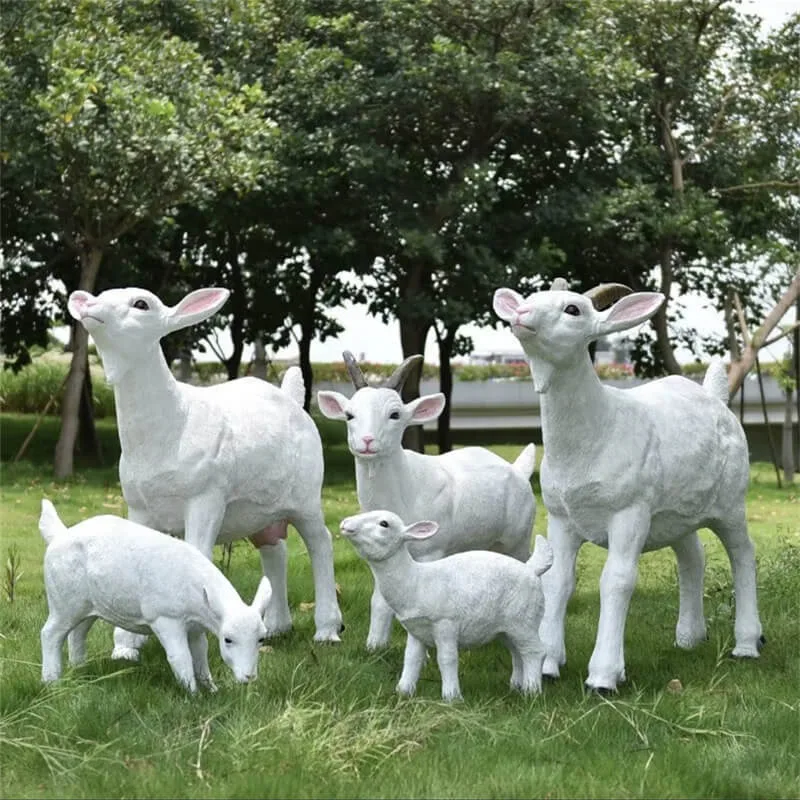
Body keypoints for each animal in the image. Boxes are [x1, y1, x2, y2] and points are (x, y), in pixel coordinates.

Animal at [38, 499, 271, 692]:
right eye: (228, 639)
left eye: (261, 639)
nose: (249, 677)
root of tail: (58, 535)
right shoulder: (165, 618)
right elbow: (180, 657)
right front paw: (193, 694)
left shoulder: (196, 627)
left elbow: (200, 656)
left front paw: (211, 689)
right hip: (62, 602)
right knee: (50, 634)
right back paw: (51, 681)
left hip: (87, 606)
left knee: (77, 634)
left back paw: (79, 670)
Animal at [67, 286, 343, 663]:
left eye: (141, 304)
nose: (88, 306)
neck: (174, 419)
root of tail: (291, 398)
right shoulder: (139, 505)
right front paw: (125, 648)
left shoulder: (205, 496)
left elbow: (198, 554)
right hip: (258, 509)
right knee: (275, 550)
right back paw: (275, 627)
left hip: (307, 495)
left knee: (321, 543)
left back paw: (327, 630)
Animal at [317, 351, 536, 650]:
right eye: (349, 415)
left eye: (395, 414)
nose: (367, 441)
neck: (408, 486)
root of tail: (519, 470)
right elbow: (379, 599)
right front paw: (375, 645)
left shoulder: (431, 549)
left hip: (519, 537)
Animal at [339, 510, 553, 701]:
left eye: (384, 524)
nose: (344, 523)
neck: (415, 580)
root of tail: (531, 569)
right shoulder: (416, 629)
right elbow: (411, 659)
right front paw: (403, 691)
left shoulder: (445, 623)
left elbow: (447, 659)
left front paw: (451, 697)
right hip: (505, 628)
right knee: (518, 652)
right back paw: (516, 686)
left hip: (524, 619)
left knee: (536, 651)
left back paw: (531, 692)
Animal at [493, 278, 764, 692]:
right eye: (530, 299)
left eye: (573, 309)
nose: (521, 316)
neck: (599, 427)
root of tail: (715, 397)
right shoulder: (561, 516)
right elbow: (558, 581)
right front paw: (549, 665)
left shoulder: (628, 512)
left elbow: (617, 581)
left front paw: (603, 676)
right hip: (675, 513)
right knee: (693, 555)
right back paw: (689, 638)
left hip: (731, 501)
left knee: (743, 554)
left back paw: (747, 644)